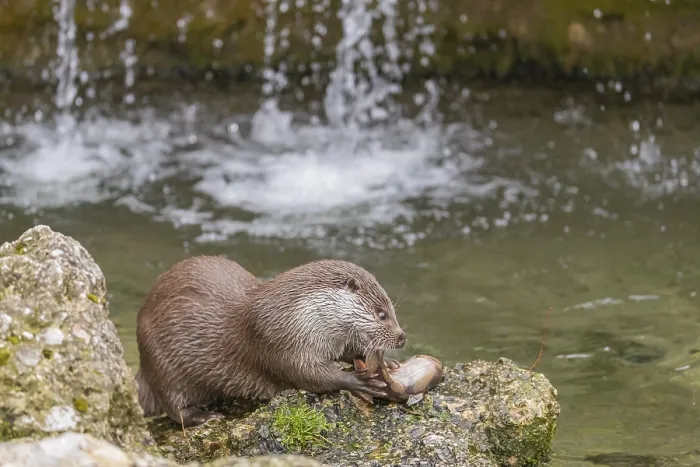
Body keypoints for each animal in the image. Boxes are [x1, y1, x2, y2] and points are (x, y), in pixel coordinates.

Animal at [135, 256, 406, 426]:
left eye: (392, 310)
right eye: (382, 314)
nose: (402, 338)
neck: (296, 314)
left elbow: (346, 352)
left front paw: (387, 363)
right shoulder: (278, 340)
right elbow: (306, 373)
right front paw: (358, 381)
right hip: (161, 362)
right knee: (173, 406)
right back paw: (205, 417)